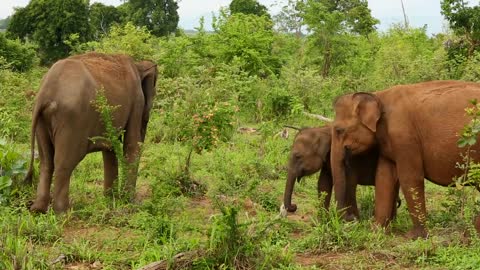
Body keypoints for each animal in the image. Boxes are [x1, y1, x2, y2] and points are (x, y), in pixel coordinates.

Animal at [23, 52, 158, 213]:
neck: (138, 65)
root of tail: (45, 94)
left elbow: (110, 147)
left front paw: (110, 201)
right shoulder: (137, 101)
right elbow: (131, 144)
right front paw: (131, 204)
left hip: (41, 121)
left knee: (46, 161)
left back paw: (38, 210)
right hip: (72, 121)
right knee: (65, 162)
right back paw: (63, 212)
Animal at [332, 80, 480, 238]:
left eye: (339, 130)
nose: (351, 220)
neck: (378, 96)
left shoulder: (404, 137)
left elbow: (410, 177)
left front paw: (413, 237)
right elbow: (384, 178)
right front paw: (375, 231)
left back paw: (469, 235)